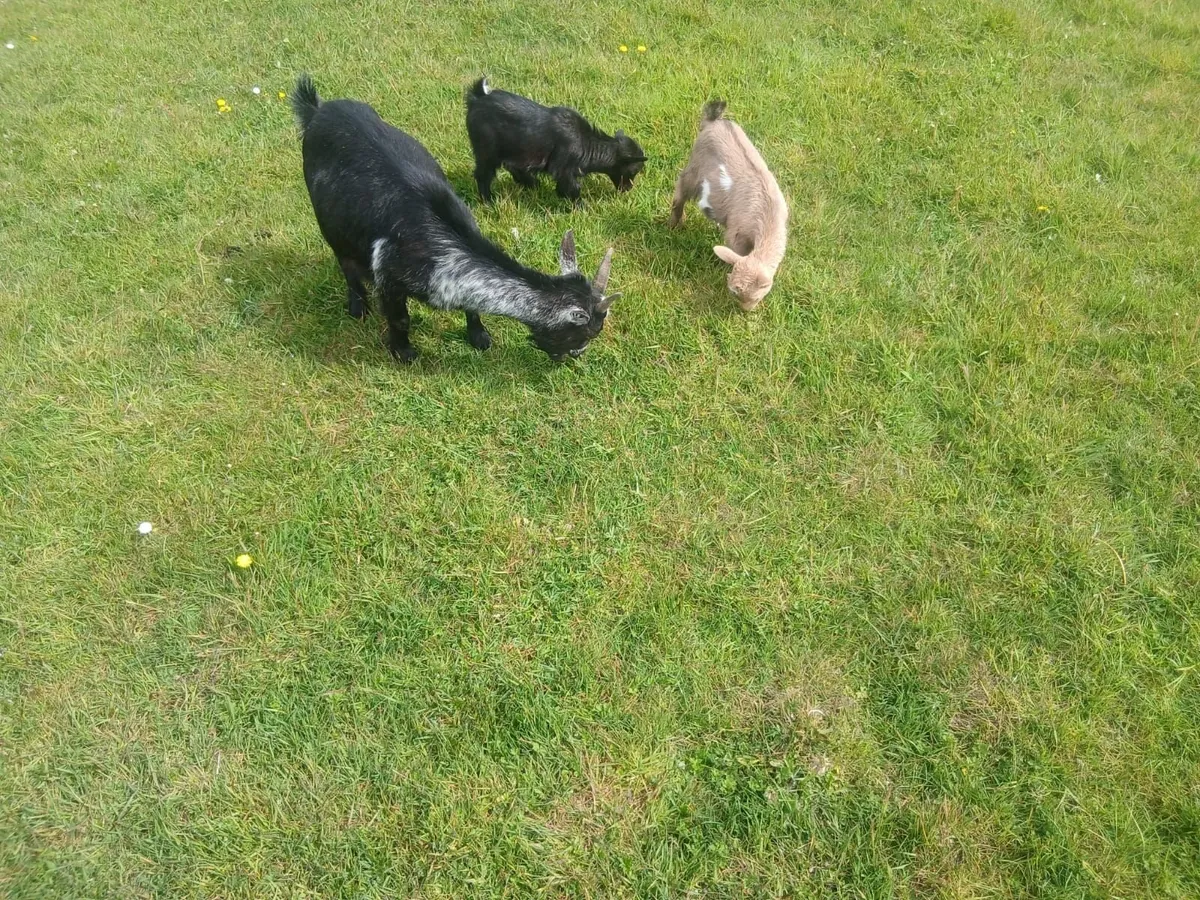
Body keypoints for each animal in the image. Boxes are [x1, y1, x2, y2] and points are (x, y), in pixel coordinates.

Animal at [290, 75, 618, 362]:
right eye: (587, 332)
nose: (575, 356)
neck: (444, 244)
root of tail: (318, 111)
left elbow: (473, 309)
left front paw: (479, 337)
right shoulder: (388, 277)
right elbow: (400, 319)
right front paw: (403, 353)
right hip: (327, 220)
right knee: (345, 262)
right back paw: (357, 306)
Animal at [465, 77, 647, 204]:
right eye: (634, 170)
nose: (628, 189)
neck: (585, 142)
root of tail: (477, 99)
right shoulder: (563, 168)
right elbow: (572, 188)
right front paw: (581, 206)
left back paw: (531, 184)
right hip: (487, 151)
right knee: (483, 175)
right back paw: (489, 201)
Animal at [669, 100, 788, 310]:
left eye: (757, 297)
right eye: (734, 292)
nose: (745, 311)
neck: (768, 215)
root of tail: (714, 121)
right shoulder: (737, 232)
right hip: (695, 168)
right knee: (681, 191)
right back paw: (675, 225)